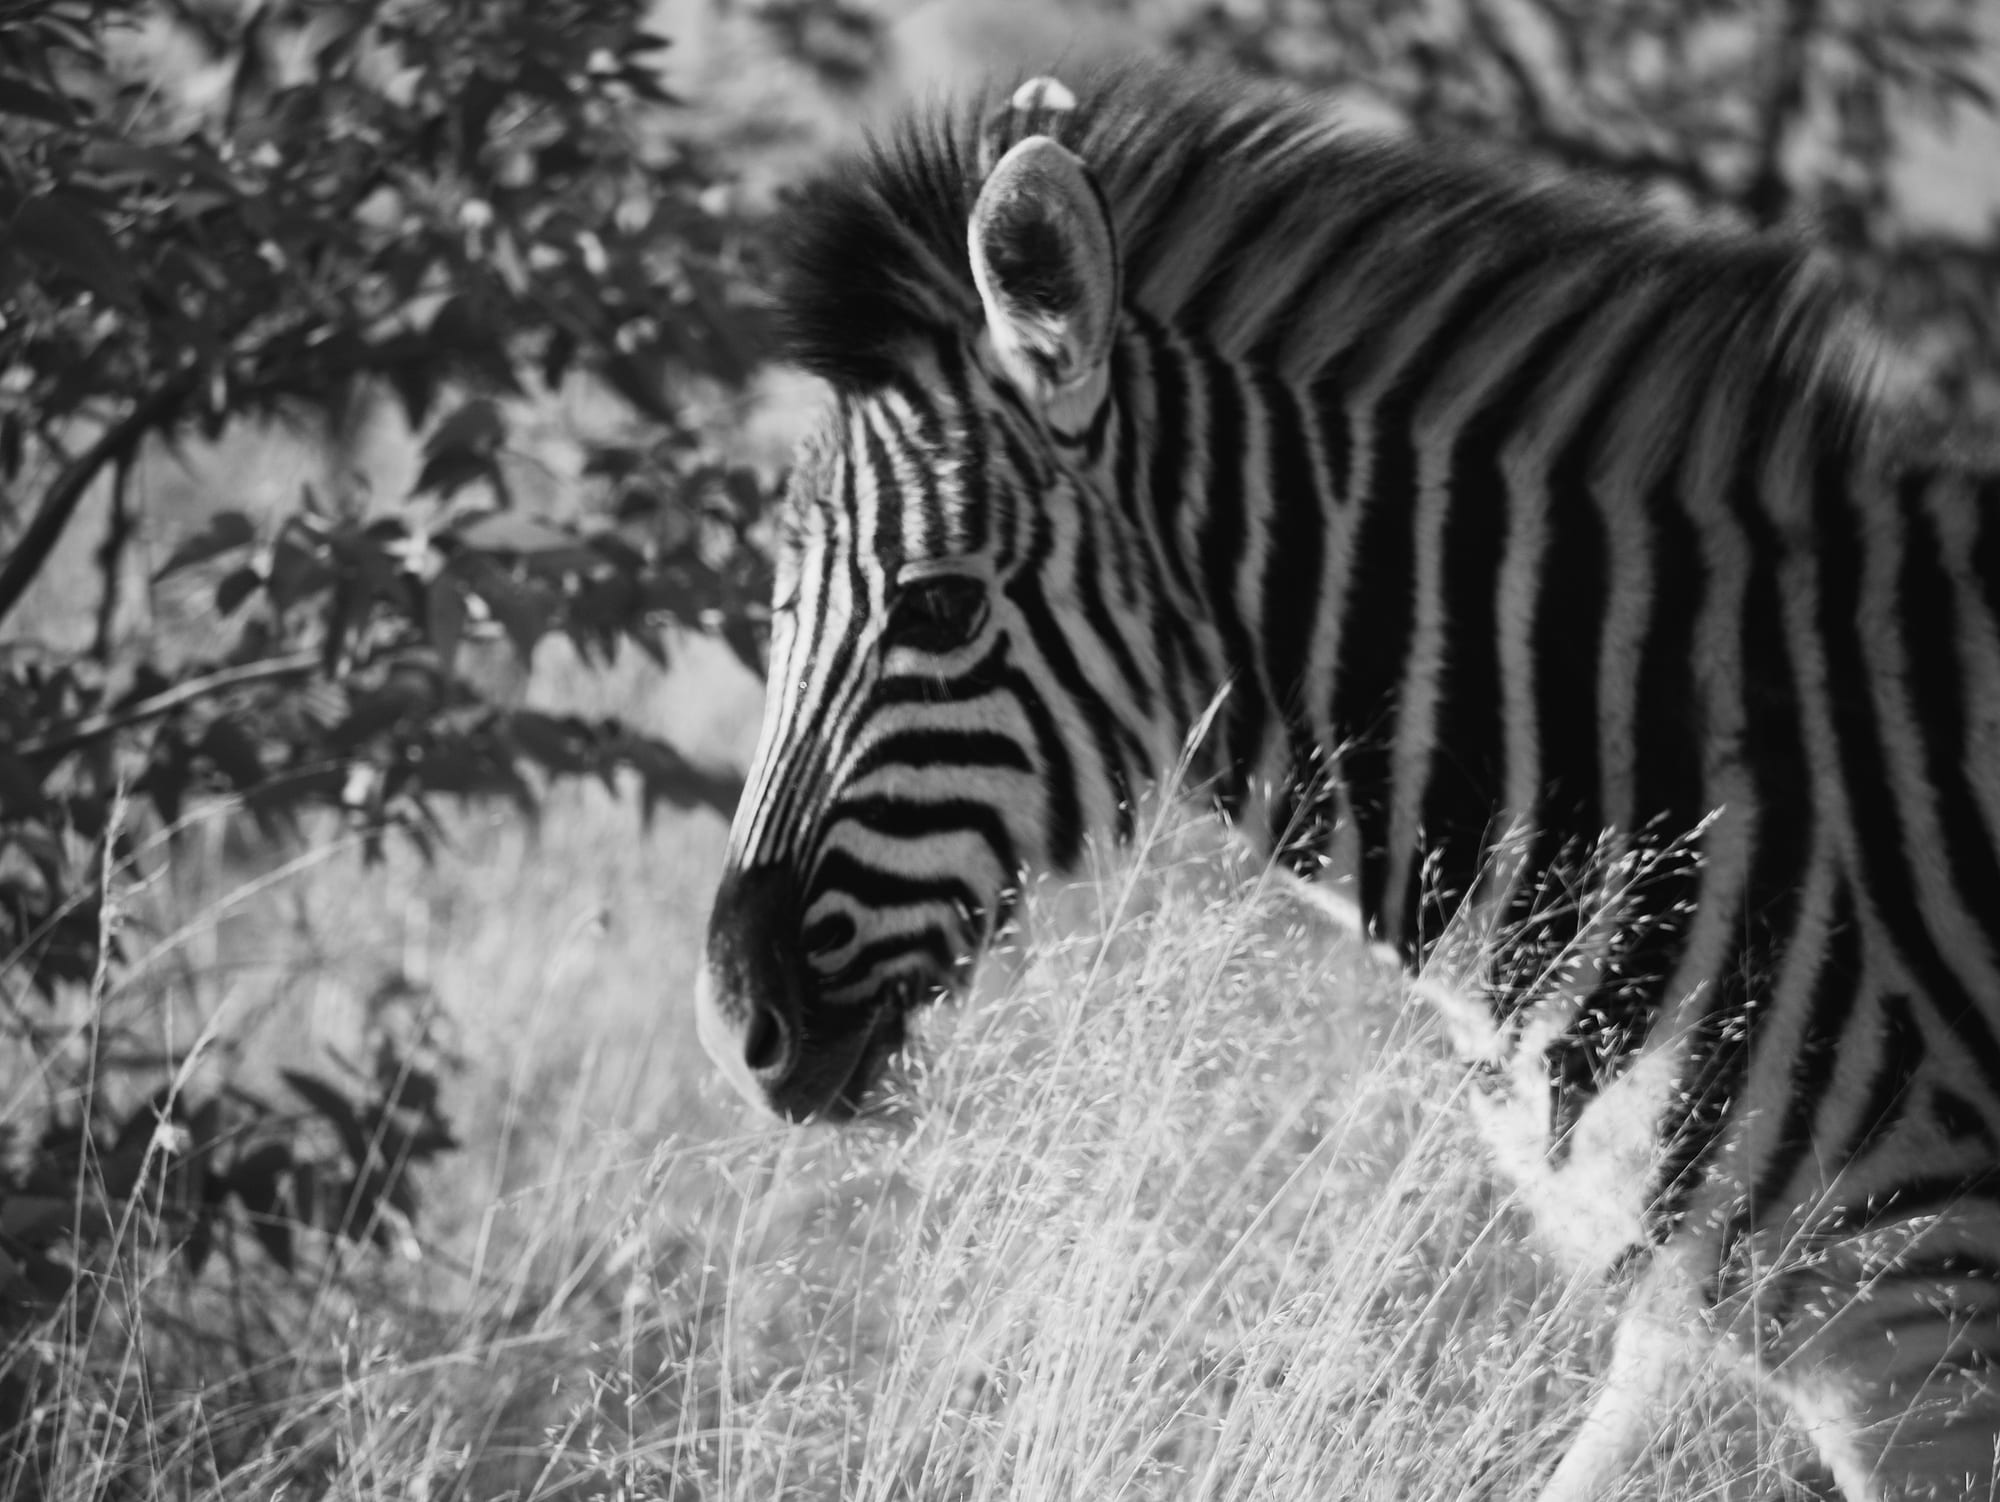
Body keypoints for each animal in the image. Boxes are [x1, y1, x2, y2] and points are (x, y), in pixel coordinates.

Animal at [694, 63, 2000, 1501]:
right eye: (773, 608)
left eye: (937, 607)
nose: (736, 1021)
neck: (1701, 787)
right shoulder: (1702, 1321)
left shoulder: (1920, 1334)